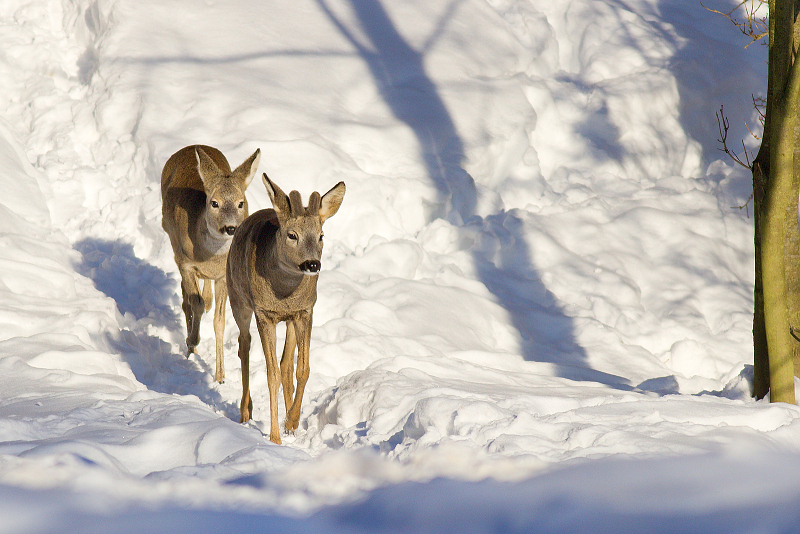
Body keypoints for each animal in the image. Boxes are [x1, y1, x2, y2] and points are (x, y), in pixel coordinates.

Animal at [161, 144, 260, 384]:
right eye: (214, 203)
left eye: (241, 203)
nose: (231, 228)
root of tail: (190, 147)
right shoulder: (186, 263)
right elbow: (193, 303)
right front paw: (192, 342)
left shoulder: (224, 274)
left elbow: (219, 320)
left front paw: (220, 376)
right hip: (172, 241)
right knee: (186, 300)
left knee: (204, 298)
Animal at [228, 174, 346, 446]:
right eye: (292, 235)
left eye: (321, 235)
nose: (312, 264)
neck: (284, 293)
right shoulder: (264, 313)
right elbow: (270, 374)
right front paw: (274, 438)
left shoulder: (305, 311)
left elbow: (302, 369)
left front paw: (291, 421)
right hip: (237, 299)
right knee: (244, 345)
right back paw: (245, 411)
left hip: (290, 320)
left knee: (286, 365)